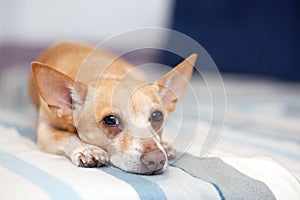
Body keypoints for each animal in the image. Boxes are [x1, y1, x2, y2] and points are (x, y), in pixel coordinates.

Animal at [28, 42, 197, 175]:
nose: (156, 159)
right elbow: (65, 136)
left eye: (157, 116)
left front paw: (165, 145)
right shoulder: (45, 131)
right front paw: (87, 149)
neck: (106, 75)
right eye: (110, 120)